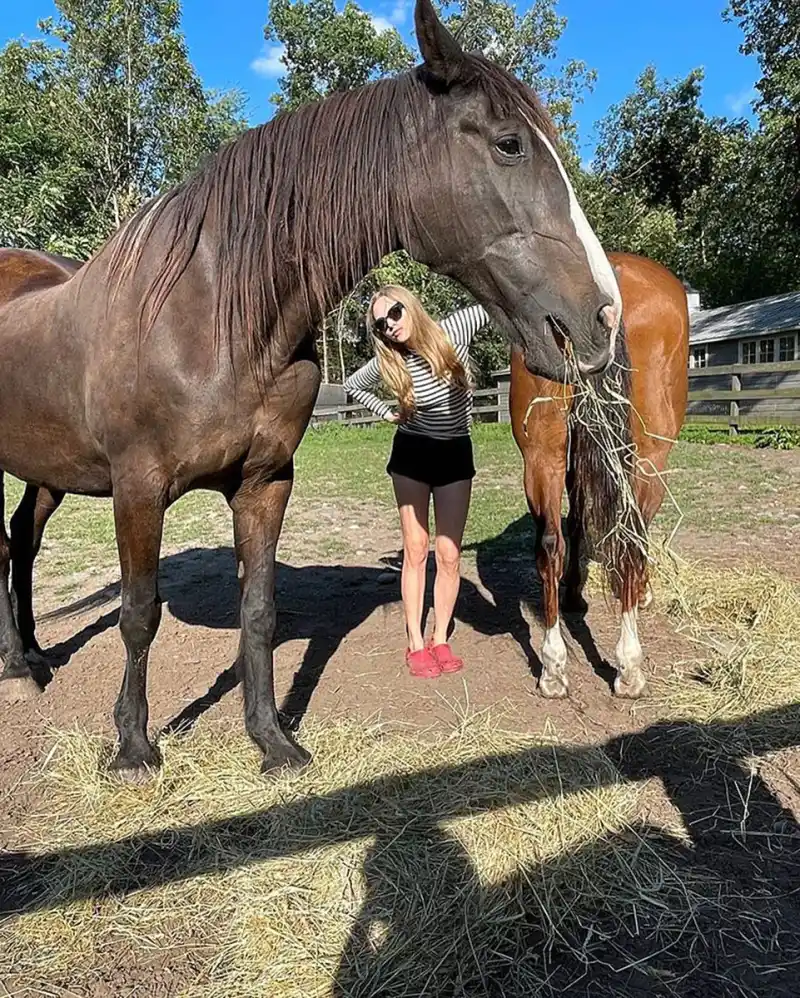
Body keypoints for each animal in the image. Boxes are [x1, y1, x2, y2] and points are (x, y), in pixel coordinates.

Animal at [0, 0, 623, 779]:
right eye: (510, 145)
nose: (602, 318)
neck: (212, 314)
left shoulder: (265, 483)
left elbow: (259, 612)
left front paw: (271, 739)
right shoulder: (137, 489)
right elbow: (139, 613)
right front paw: (135, 748)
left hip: (48, 472)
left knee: (18, 540)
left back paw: (29, 661)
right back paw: (19, 666)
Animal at [509, 252, 689, 699]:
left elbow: (575, 522)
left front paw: (574, 592)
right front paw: (641, 592)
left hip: (541, 455)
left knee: (550, 543)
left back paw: (553, 668)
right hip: (649, 459)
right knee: (632, 539)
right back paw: (629, 668)